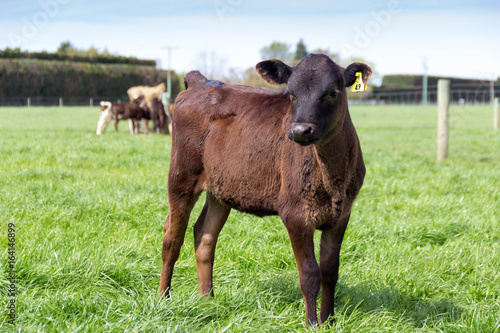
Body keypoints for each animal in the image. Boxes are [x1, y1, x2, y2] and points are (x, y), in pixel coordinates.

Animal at [158, 53, 374, 324]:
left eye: (333, 92)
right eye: (291, 93)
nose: (300, 130)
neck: (332, 178)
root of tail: (203, 82)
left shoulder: (342, 213)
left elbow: (330, 271)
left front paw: (329, 320)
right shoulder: (294, 213)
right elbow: (310, 274)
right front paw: (312, 323)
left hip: (221, 188)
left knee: (205, 236)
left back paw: (207, 300)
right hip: (181, 176)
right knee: (172, 236)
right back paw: (163, 298)